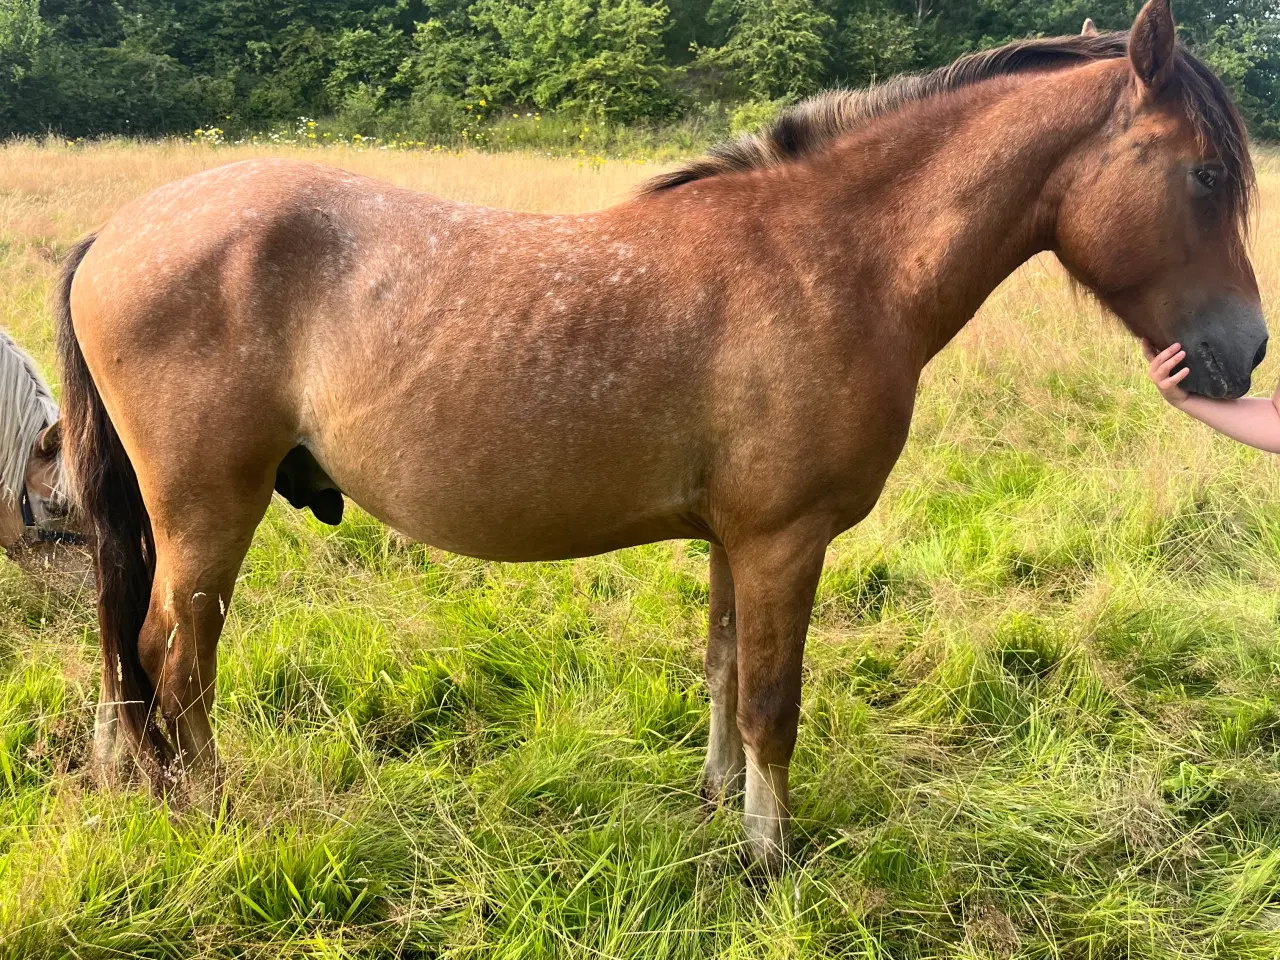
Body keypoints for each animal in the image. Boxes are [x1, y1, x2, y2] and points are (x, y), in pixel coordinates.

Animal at [57, 0, 1259, 870]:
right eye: (1204, 174)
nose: (1242, 353)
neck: (830, 260)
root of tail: (113, 232)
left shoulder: (737, 541)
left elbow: (724, 672)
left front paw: (719, 801)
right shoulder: (783, 542)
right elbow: (773, 701)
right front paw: (770, 853)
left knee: (137, 661)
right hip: (209, 514)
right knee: (174, 664)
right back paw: (209, 811)